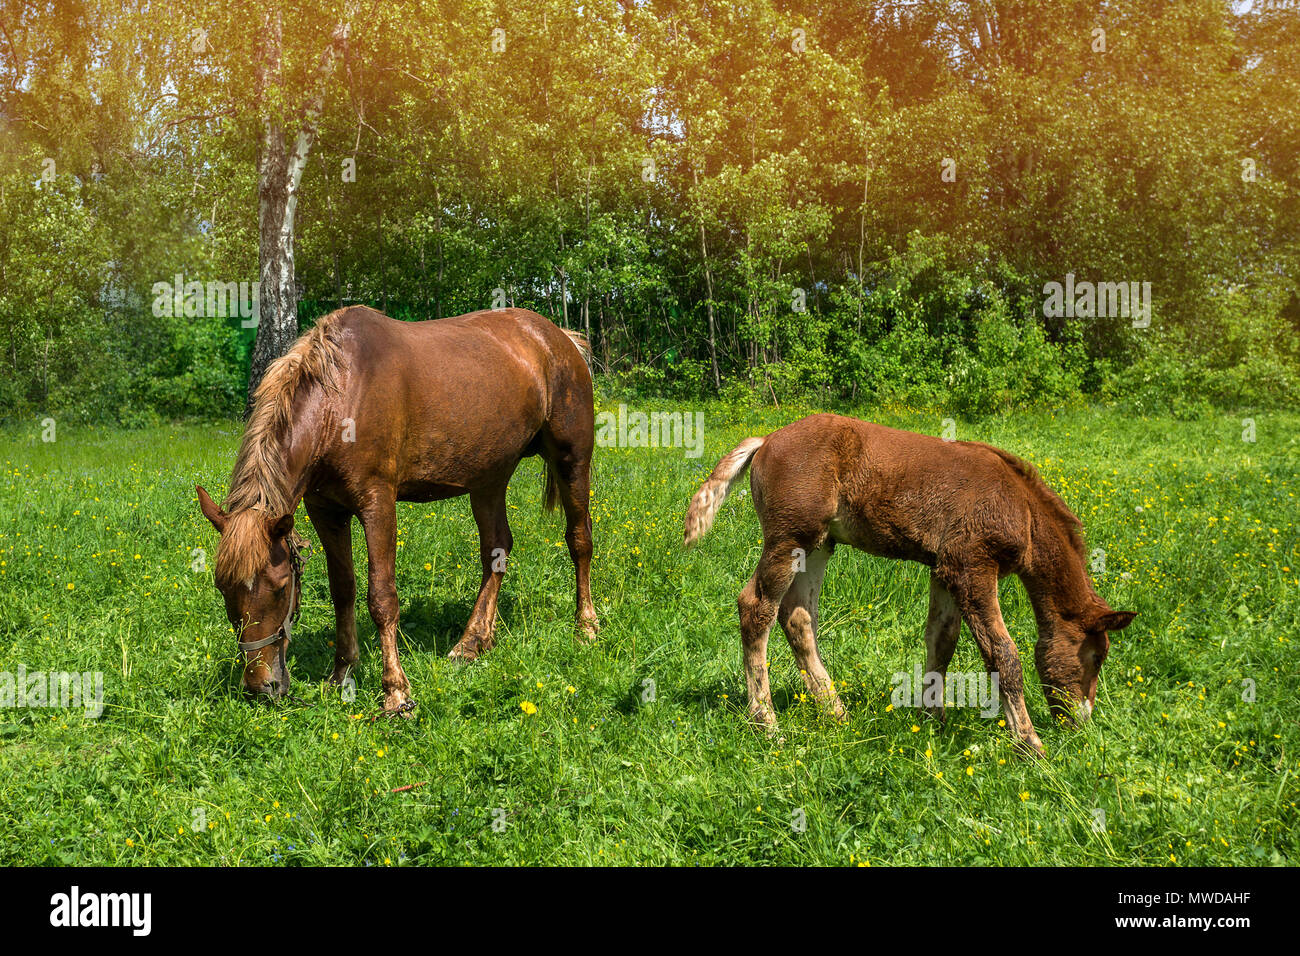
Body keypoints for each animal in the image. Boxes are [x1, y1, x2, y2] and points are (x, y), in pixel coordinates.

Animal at [196, 305, 600, 713]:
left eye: (280, 588)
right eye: (222, 586)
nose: (260, 686)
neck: (342, 397)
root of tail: (559, 338)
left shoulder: (378, 504)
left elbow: (382, 597)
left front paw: (396, 691)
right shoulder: (326, 511)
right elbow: (343, 590)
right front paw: (341, 674)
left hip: (572, 461)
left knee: (579, 539)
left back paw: (586, 625)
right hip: (489, 477)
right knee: (496, 549)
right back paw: (473, 642)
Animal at [684, 413, 1135, 756]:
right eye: (1096, 657)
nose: (1080, 722)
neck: (1022, 509)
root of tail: (766, 441)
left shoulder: (945, 569)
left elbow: (942, 641)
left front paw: (932, 720)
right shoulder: (972, 567)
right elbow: (1003, 654)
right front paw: (1029, 744)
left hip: (819, 545)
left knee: (797, 617)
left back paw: (836, 712)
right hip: (789, 538)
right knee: (756, 607)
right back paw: (766, 722)